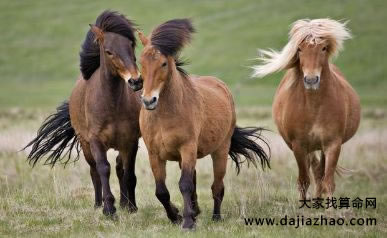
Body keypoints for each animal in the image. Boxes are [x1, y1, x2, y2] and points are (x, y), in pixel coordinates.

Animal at [25, 10, 144, 216]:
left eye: (131, 46)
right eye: (109, 51)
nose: (135, 81)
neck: (112, 105)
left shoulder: (130, 141)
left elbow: (129, 173)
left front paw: (130, 207)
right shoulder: (95, 141)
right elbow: (103, 169)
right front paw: (108, 209)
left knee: (120, 168)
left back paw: (124, 203)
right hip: (85, 144)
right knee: (94, 170)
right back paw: (98, 204)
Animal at [135, 19, 272, 231]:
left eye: (163, 63)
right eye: (141, 62)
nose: (149, 101)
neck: (165, 115)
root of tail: (222, 87)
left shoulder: (187, 148)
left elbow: (184, 184)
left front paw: (187, 222)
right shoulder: (154, 154)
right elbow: (161, 191)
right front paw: (176, 216)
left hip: (220, 151)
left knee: (217, 186)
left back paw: (216, 217)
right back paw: (195, 211)